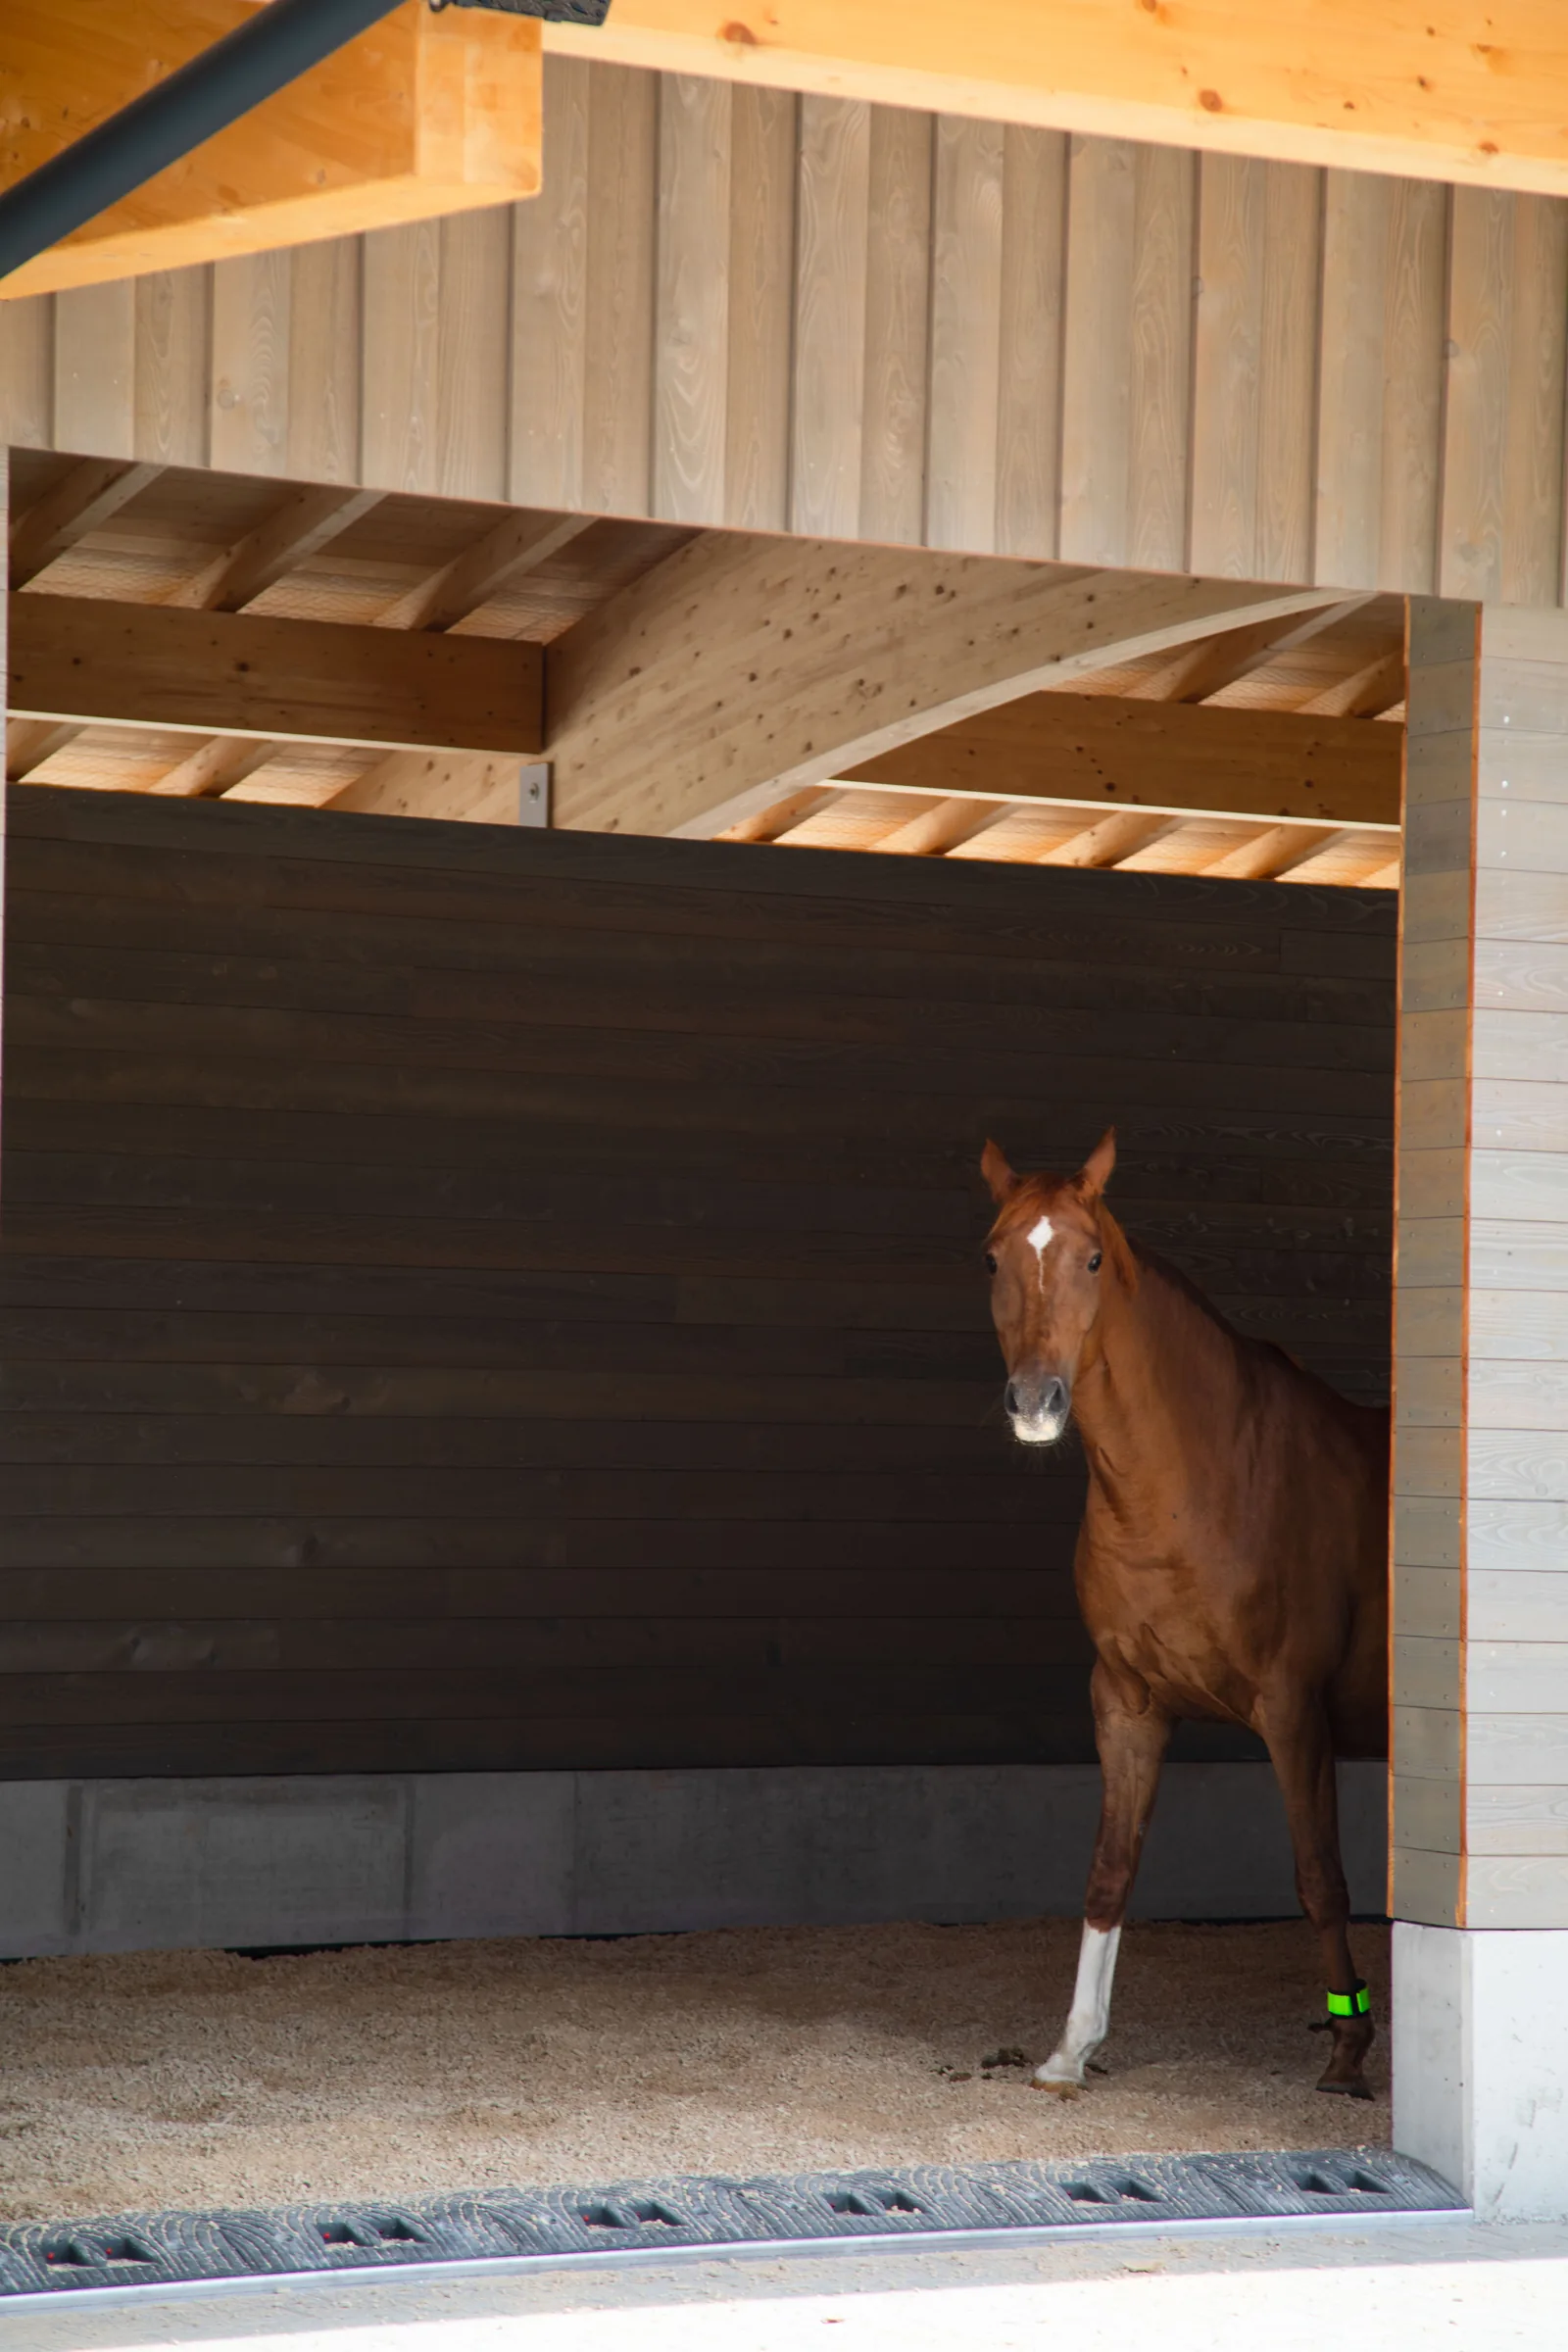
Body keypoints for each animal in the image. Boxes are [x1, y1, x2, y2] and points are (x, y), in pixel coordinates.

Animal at [980, 1128, 1389, 2101]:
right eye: (994, 1256)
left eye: (1092, 1257)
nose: (1036, 1404)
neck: (1193, 1484)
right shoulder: (1127, 1703)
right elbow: (1110, 1871)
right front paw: (1071, 2050)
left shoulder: (1293, 1711)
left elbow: (1319, 1877)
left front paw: (1348, 2048)